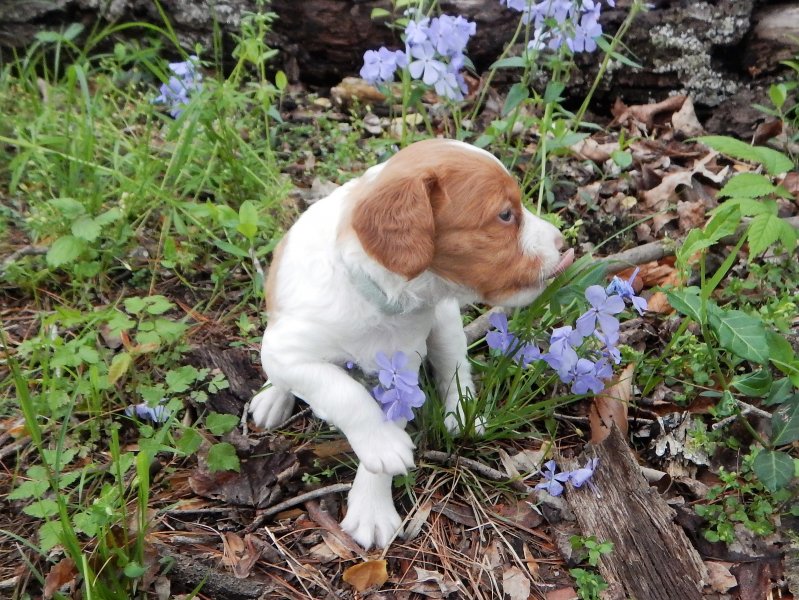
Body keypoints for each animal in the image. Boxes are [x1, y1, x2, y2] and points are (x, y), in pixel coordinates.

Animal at [250, 137, 576, 548]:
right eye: (505, 215)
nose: (564, 245)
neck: (381, 297)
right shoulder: (287, 350)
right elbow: (341, 391)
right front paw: (382, 445)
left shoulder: (402, 370)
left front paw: (372, 506)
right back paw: (272, 399)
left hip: (447, 322)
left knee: (455, 366)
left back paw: (461, 414)